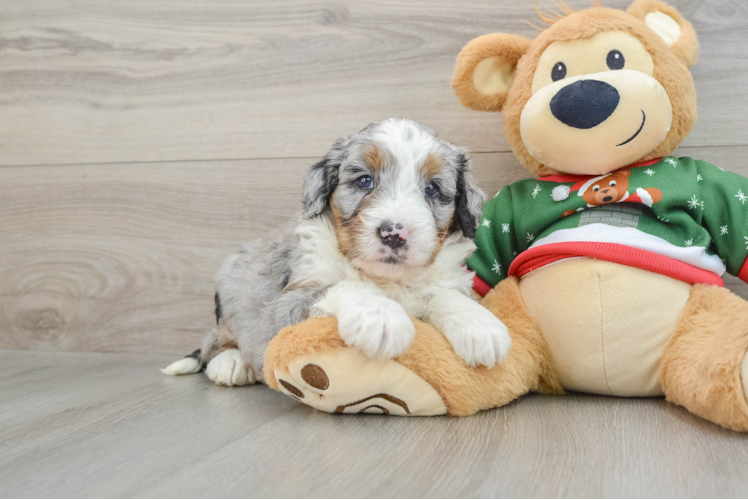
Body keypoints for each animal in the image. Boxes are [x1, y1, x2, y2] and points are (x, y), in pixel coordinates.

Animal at [162, 119, 516, 384]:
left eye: (432, 189)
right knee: (218, 339)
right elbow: (342, 284)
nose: (394, 233)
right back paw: (232, 362)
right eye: (364, 181)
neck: (385, 278)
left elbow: (443, 293)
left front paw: (479, 325)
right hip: (233, 286)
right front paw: (381, 316)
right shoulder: (287, 304)